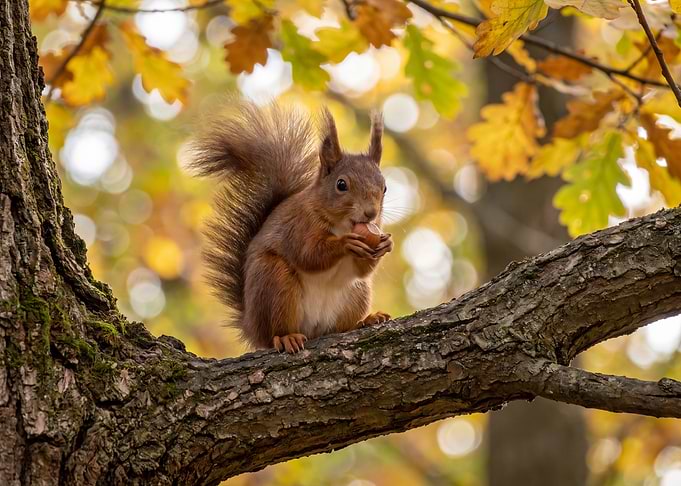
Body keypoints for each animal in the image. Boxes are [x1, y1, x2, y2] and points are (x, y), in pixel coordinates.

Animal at [190, 99, 393, 353]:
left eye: (384, 188)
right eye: (341, 184)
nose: (371, 213)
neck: (342, 225)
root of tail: (251, 326)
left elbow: (362, 270)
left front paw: (385, 244)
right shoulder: (297, 226)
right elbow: (308, 255)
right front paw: (346, 244)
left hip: (357, 293)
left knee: (340, 327)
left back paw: (366, 320)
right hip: (275, 283)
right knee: (275, 333)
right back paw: (286, 338)